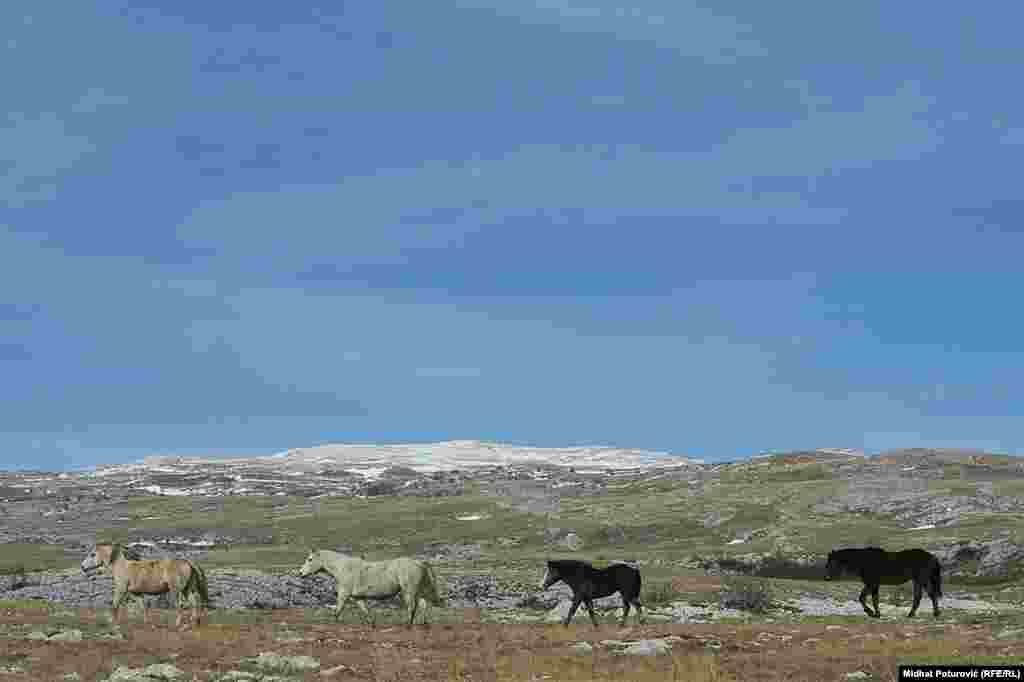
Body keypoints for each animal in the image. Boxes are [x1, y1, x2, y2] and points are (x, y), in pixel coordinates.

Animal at [80, 540, 208, 626]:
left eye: (92, 554)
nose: (82, 567)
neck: (122, 567)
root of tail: (188, 562)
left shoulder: (121, 589)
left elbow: (115, 604)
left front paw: (112, 621)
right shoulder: (137, 593)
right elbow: (143, 607)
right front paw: (146, 622)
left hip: (176, 590)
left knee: (181, 605)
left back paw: (177, 624)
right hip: (187, 589)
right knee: (194, 603)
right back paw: (194, 622)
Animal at [294, 548, 442, 622]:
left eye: (310, 559)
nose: (301, 573)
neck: (342, 567)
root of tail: (419, 562)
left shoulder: (344, 593)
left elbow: (338, 609)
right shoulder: (357, 597)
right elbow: (365, 610)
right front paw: (371, 623)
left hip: (409, 590)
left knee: (412, 607)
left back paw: (407, 624)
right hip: (419, 589)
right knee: (423, 604)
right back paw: (422, 623)